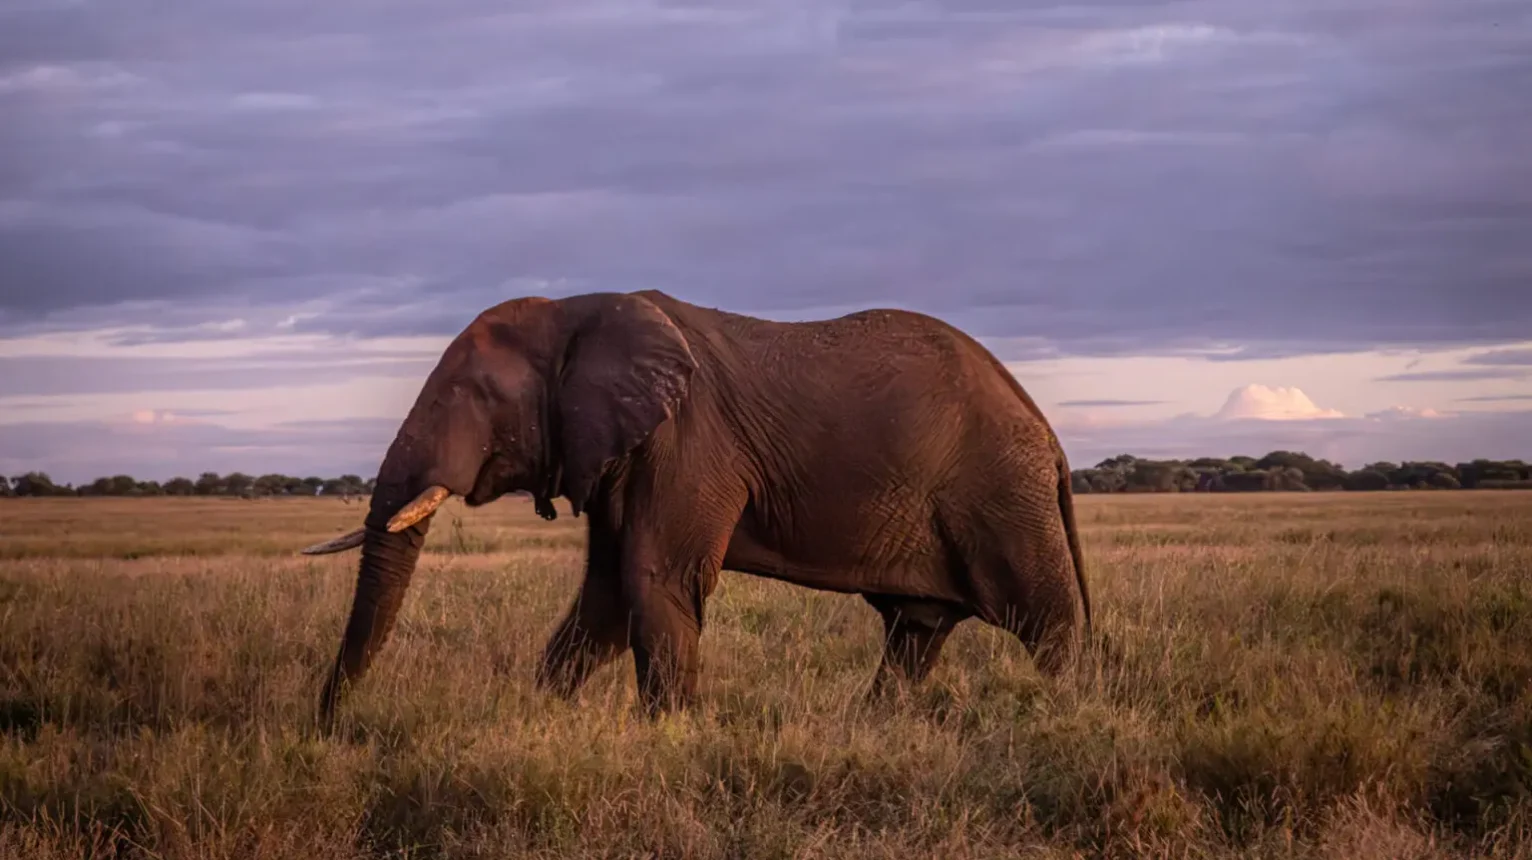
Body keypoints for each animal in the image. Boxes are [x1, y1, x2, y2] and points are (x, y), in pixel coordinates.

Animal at [301, 290, 1091, 730]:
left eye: (472, 397)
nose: (328, 726)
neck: (578, 312)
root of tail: (1046, 431)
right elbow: (607, 596)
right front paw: (537, 718)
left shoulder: (687, 440)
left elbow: (656, 581)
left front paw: (671, 739)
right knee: (916, 633)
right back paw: (871, 729)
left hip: (1002, 496)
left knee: (1044, 620)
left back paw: (1073, 719)